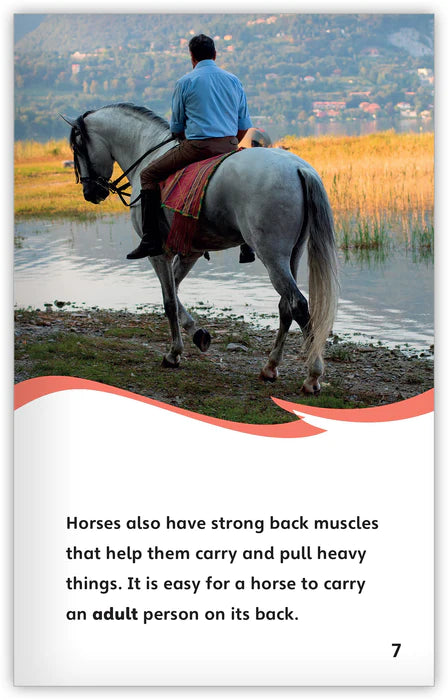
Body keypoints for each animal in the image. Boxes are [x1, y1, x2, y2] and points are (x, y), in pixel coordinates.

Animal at [61, 103, 339, 394]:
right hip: (291, 255)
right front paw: (197, 334)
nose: (91, 193)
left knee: (298, 305)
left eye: (77, 148)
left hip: (272, 256)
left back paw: (312, 376)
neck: (146, 151)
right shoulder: (189, 252)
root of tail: (298, 168)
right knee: (286, 306)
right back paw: (270, 367)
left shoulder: (159, 253)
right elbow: (175, 290)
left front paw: (174, 353)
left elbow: (169, 300)